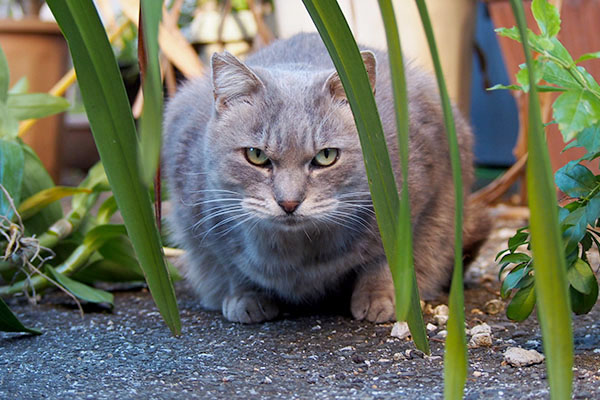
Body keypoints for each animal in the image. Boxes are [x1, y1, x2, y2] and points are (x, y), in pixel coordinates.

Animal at [162, 32, 490, 324]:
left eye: (326, 156)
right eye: (256, 155)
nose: (289, 202)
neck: (298, 252)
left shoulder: (420, 203)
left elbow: (385, 259)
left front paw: (382, 298)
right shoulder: (202, 224)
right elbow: (232, 267)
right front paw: (247, 298)